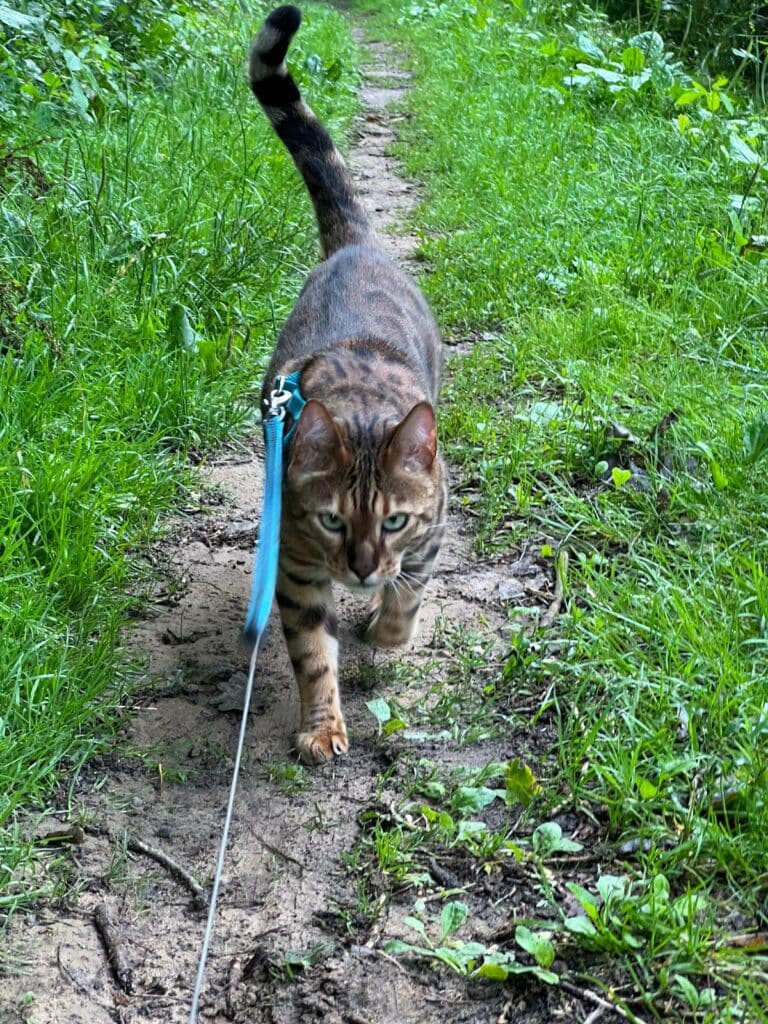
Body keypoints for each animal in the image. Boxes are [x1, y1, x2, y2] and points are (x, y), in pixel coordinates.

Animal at [249, 5, 446, 764]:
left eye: (393, 519)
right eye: (332, 519)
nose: (361, 569)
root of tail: (357, 242)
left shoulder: (432, 529)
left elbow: (410, 592)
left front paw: (387, 633)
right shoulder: (297, 569)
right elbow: (312, 653)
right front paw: (322, 724)